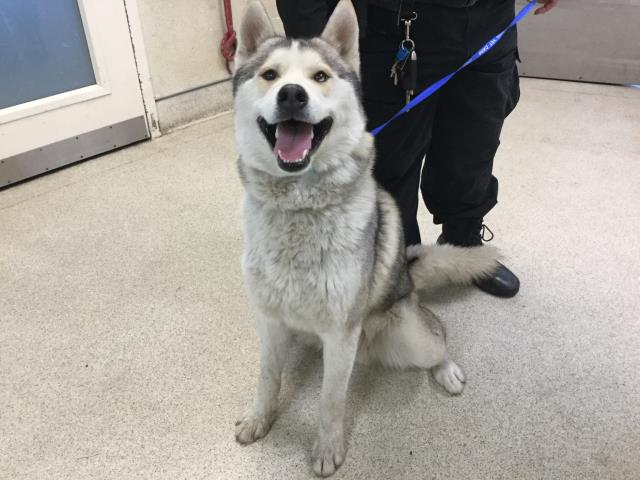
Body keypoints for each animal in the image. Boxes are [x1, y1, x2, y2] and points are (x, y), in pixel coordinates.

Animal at [232, 1, 499, 476]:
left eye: (320, 76)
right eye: (270, 74)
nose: (292, 95)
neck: (299, 207)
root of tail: (407, 274)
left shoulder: (341, 336)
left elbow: (330, 401)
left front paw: (327, 449)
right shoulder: (270, 322)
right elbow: (267, 379)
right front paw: (260, 420)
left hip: (408, 334)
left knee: (438, 338)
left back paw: (446, 370)